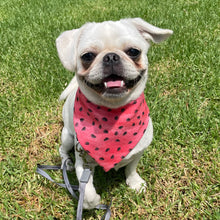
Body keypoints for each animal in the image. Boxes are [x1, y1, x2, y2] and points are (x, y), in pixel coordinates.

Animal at [55, 18, 173, 209]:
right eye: (87, 56)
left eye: (133, 52)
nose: (110, 56)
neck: (114, 114)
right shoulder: (83, 161)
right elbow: (87, 190)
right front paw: (90, 202)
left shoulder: (138, 151)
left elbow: (131, 168)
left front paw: (135, 183)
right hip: (67, 136)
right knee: (62, 150)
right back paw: (67, 162)